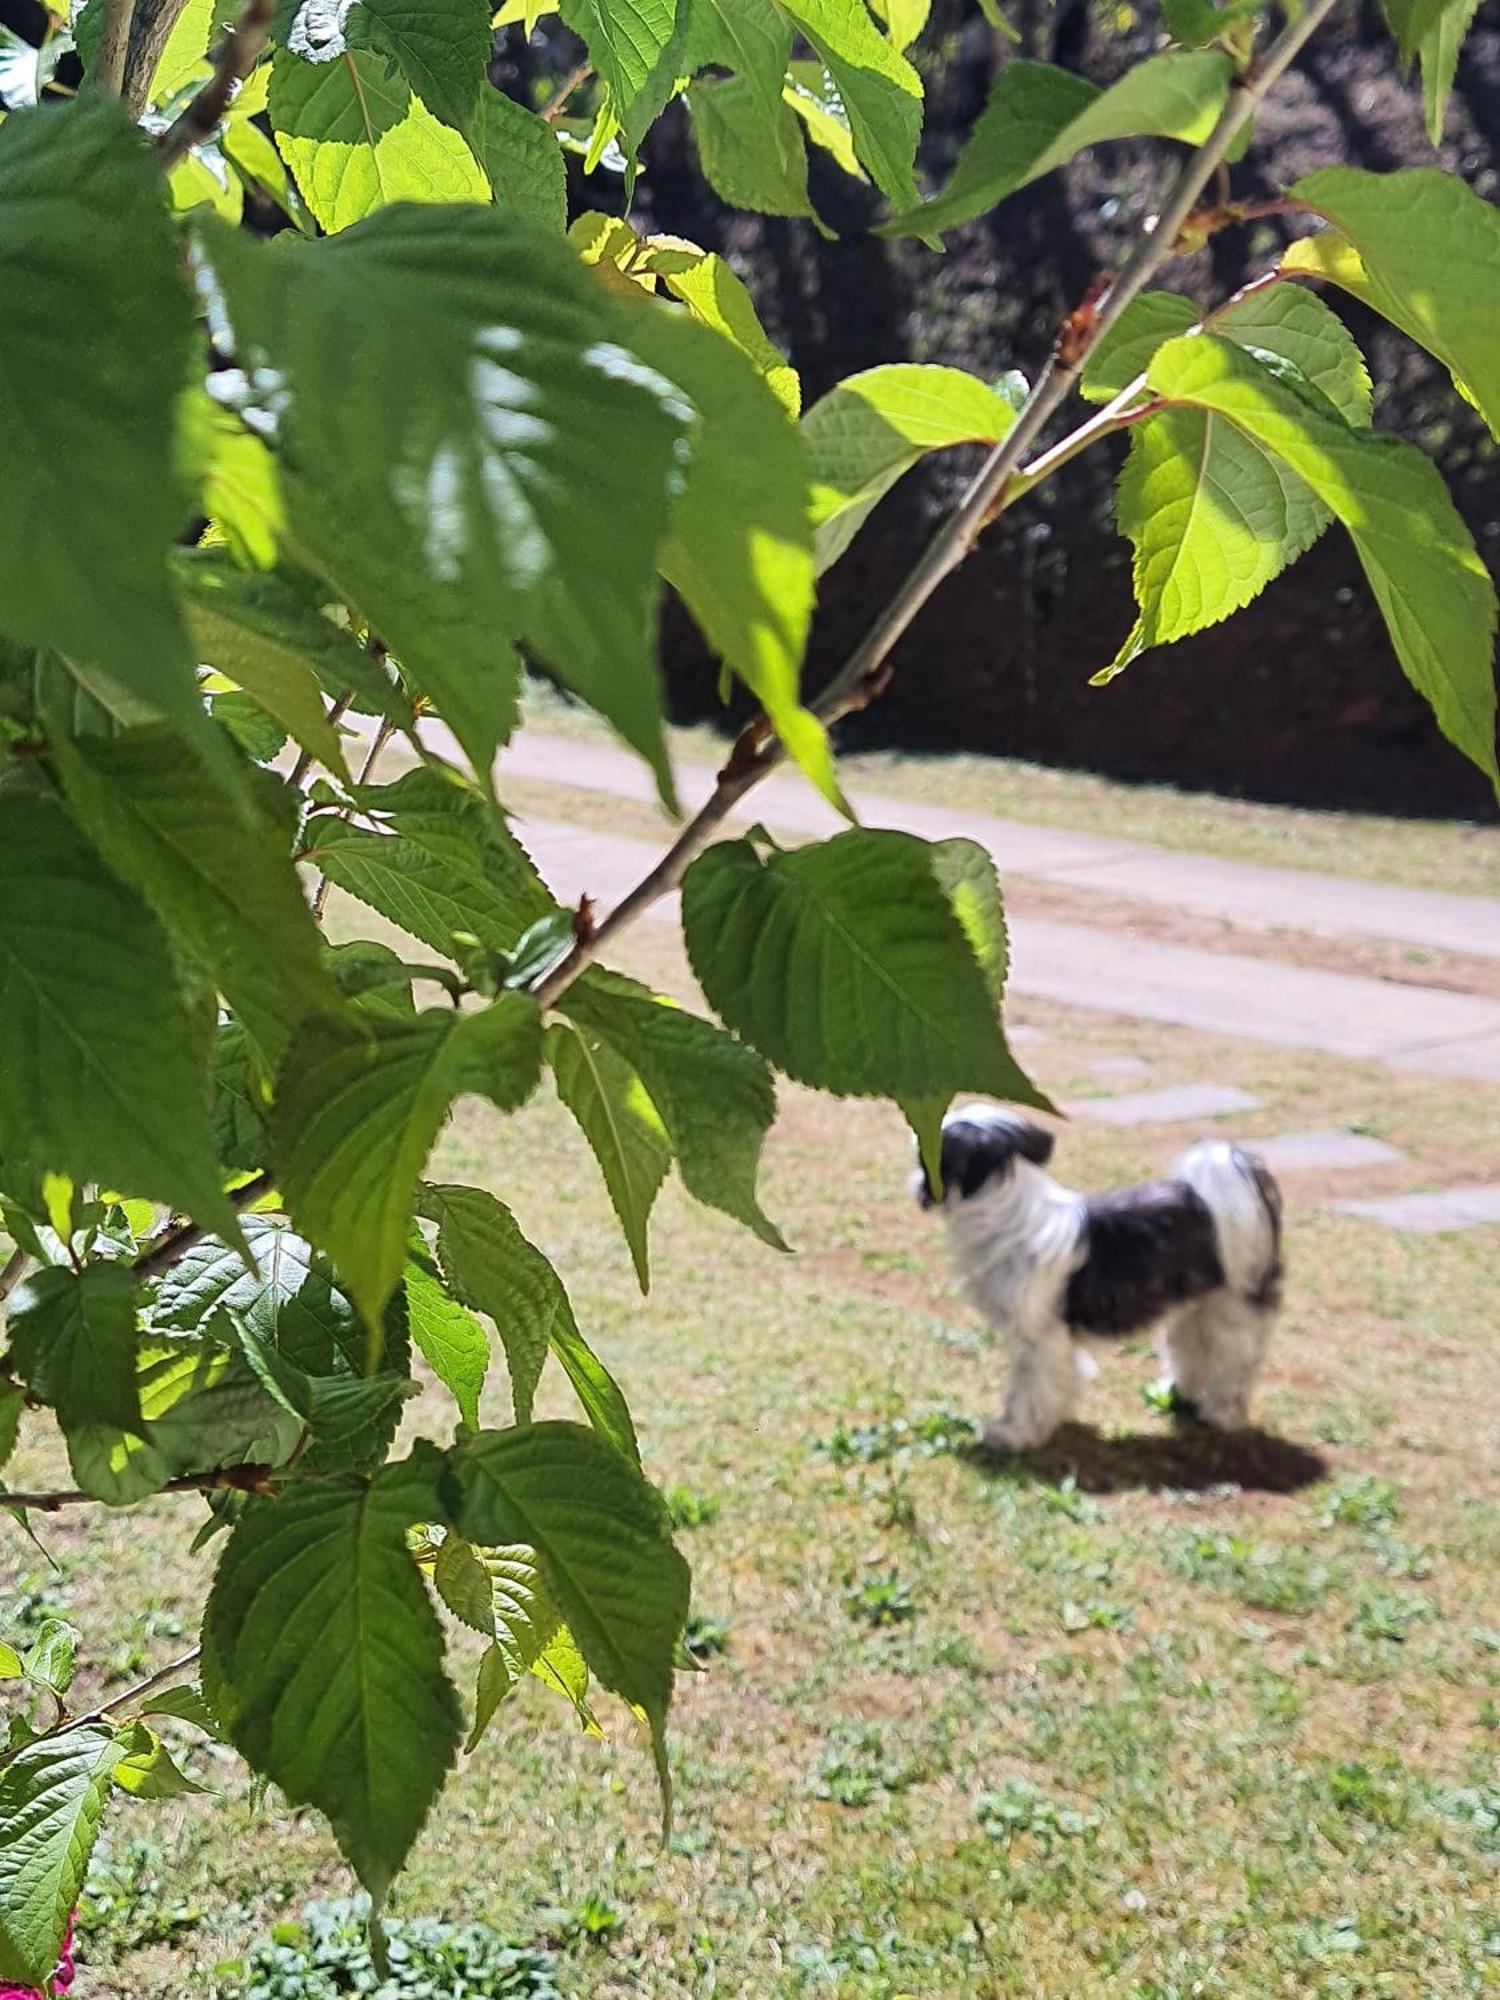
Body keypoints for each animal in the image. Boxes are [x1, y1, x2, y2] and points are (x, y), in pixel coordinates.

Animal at [912, 1112, 1288, 1456]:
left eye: (925, 1158)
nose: (917, 1181)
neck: (1009, 1219)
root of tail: (1211, 1201)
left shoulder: (1037, 1338)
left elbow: (1027, 1390)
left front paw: (1014, 1434)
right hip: (1195, 1307)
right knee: (1193, 1350)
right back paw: (1181, 1393)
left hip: (1233, 1310)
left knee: (1235, 1365)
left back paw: (1222, 1415)